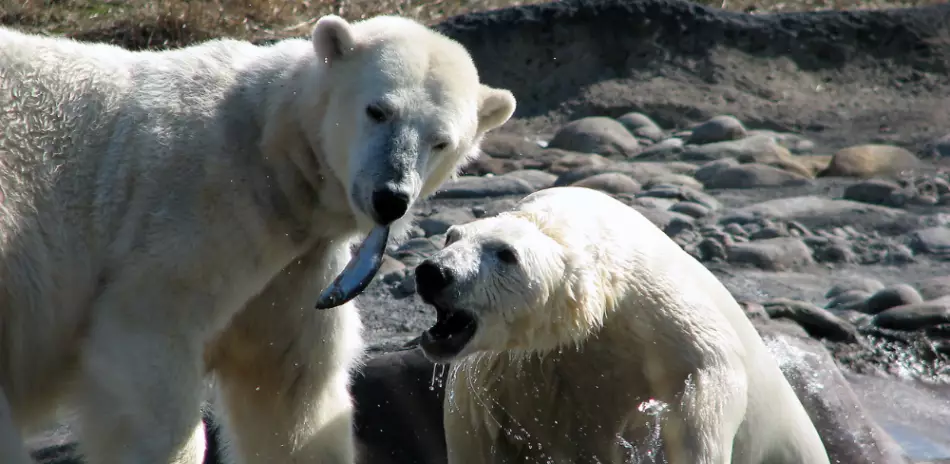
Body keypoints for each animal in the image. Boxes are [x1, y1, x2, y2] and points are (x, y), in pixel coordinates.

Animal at [0, 13, 516, 464]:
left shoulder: (297, 265)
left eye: (441, 141)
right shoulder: (199, 207)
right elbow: (146, 342)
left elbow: (289, 387)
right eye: (378, 110)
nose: (390, 197)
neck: (272, 151)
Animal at [416, 188, 832, 464]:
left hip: (789, 444)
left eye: (506, 254)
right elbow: (475, 433)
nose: (433, 272)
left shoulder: (654, 308)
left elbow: (706, 374)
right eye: (451, 236)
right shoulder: (503, 370)